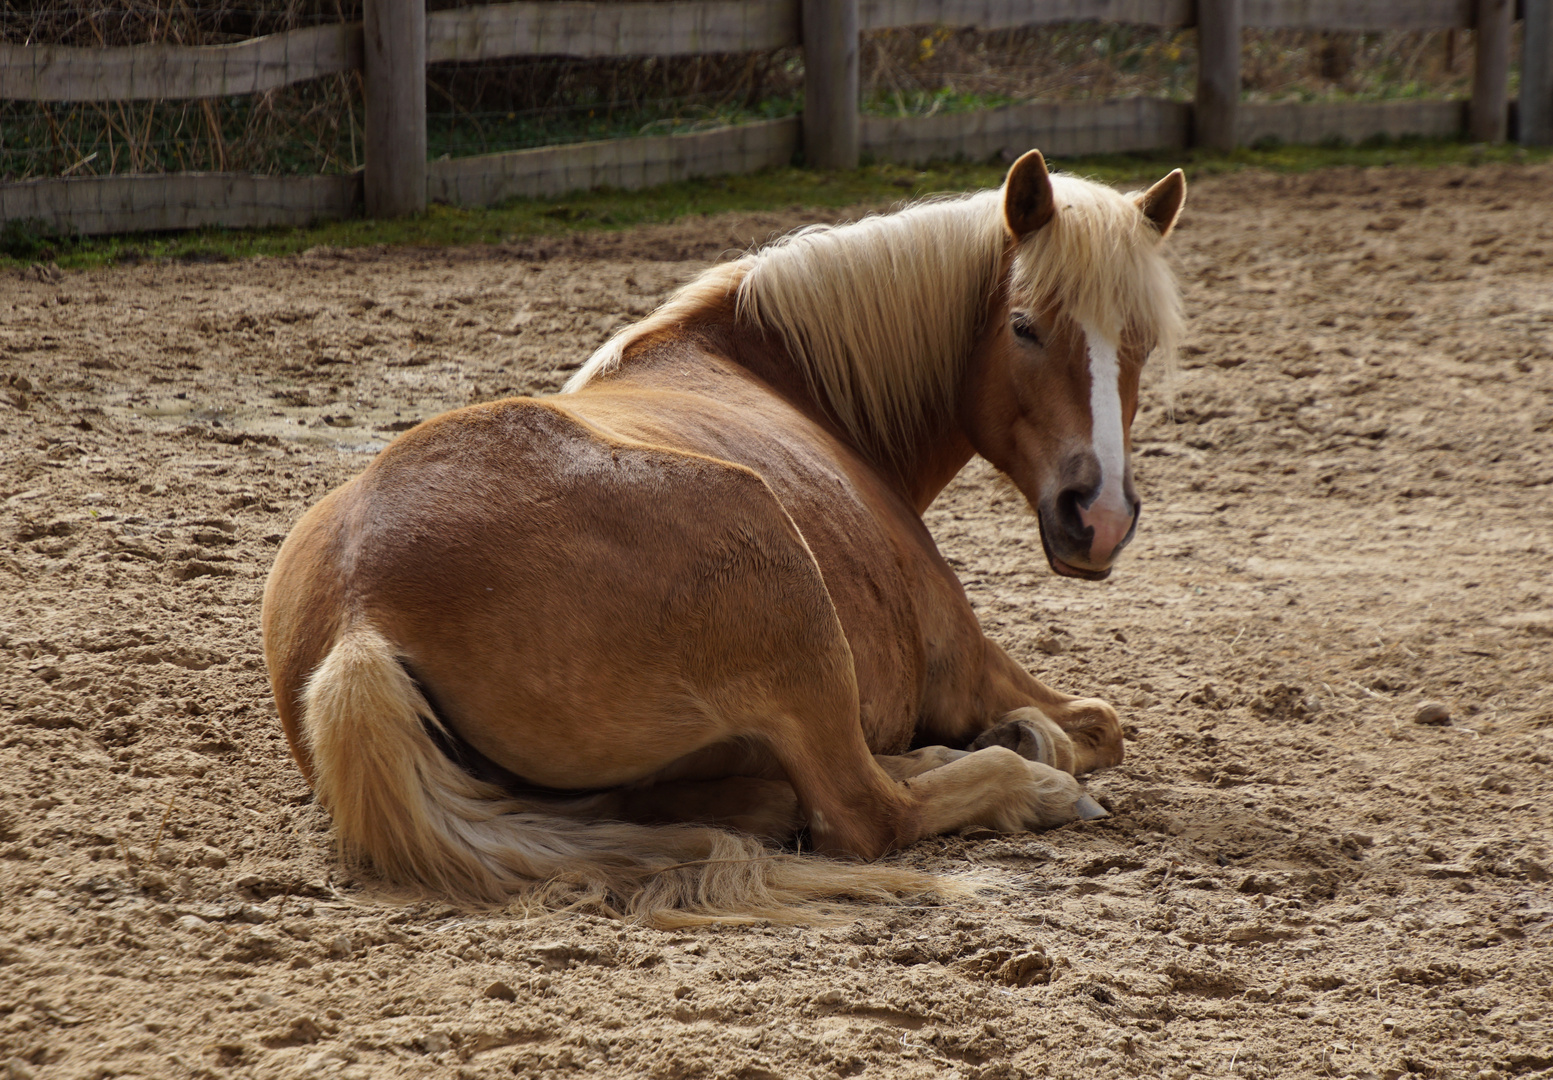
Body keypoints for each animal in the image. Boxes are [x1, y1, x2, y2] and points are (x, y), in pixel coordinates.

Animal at [264, 152, 1186, 919]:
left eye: (1142, 342)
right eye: (1025, 326)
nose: (1099, 517)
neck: (779, 371)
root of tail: (359, 615)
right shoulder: (966, 667)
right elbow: (1098, 724)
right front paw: (1036, 744)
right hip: (791, 605)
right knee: (866, 811)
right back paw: (1026, 781)